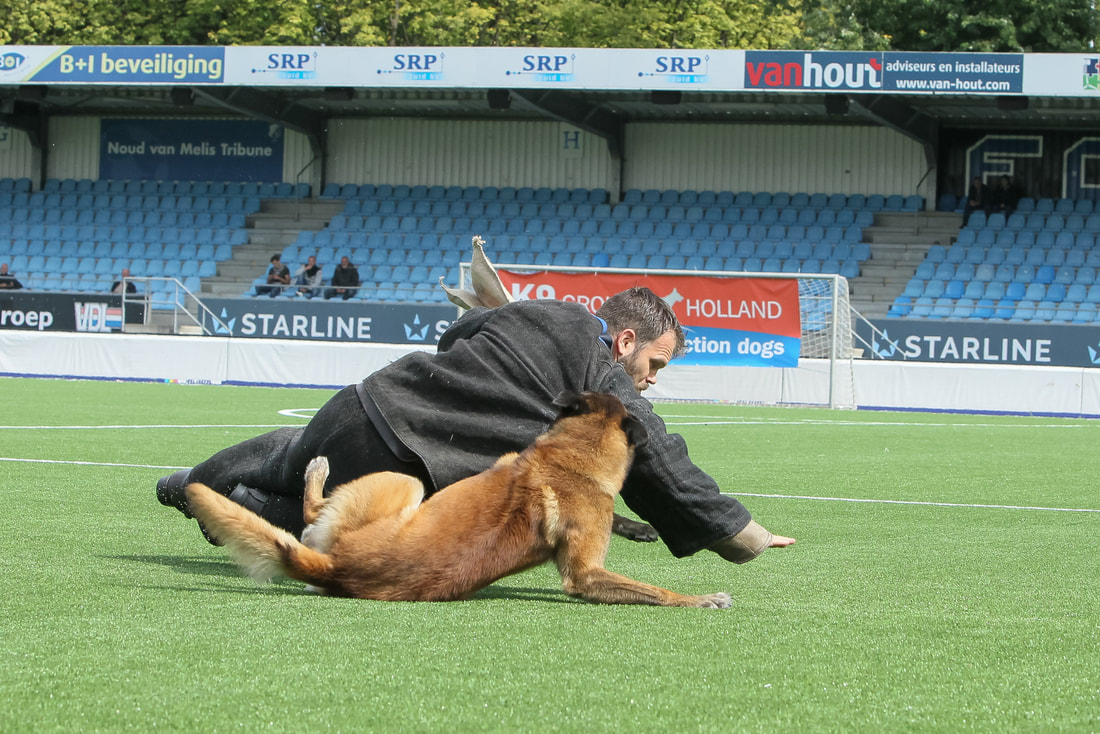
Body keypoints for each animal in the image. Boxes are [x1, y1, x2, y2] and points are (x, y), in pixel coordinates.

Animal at [185, 390, 731, 608]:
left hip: (405, 483)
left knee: (311, 509)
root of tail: (337, 569)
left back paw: (316, 472)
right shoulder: (586, 566)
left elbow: (656, 590)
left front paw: (696, 597)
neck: (573, 458)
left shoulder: (586, 571)